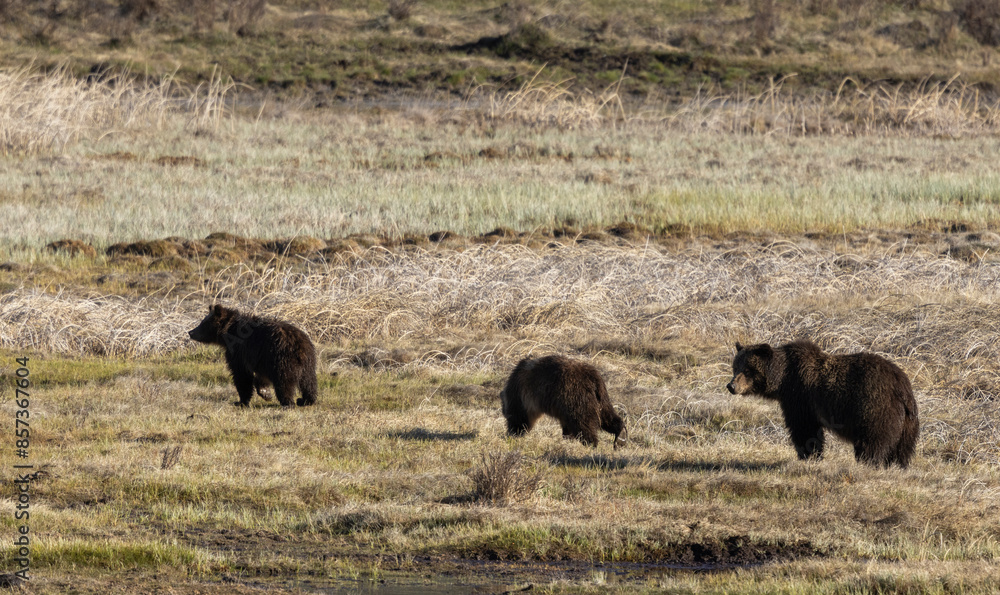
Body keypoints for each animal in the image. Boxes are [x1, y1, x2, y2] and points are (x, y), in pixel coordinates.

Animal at [186, 304, 314, 408]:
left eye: (203, 323)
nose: (190, 332)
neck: (229, 331)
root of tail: (299, 345)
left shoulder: (240, 352)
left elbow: (241, 375)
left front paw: (241, 401)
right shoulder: (260, 358)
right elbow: (260, 376)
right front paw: (265, 393)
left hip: (282, 359)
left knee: (284, 382)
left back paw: (288, 403)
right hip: (308, 363)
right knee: (308, 383)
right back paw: (306, 400)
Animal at [724, 342, 916, 468]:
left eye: (747, 370)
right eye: (735, 367)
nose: (731, 386)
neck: (782, 379)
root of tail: (901, 385)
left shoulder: (800, 398)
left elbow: (804, 429)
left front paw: (809, 456)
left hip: (874, 407)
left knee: (872, 441)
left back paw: (868, 463)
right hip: (907, 422)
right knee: (902, 448)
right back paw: (898, 465)